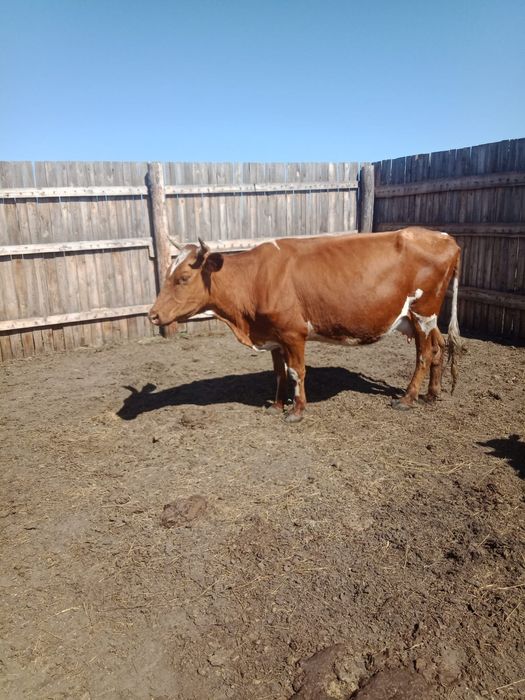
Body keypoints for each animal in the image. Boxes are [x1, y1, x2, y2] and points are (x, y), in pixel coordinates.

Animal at [149, 227, 462, 422]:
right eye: (167, 274)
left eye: (183, 278)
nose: (152, 315)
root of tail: (445, 238)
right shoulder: (273, 334)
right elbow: (278, 372)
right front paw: (276, 405)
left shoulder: (293, 333)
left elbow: (296, 372)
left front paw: (297, 411)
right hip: (423, 317)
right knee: (438, 349)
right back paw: (431, 394)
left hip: (422, 312)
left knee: (423, 356)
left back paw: (407, 399)